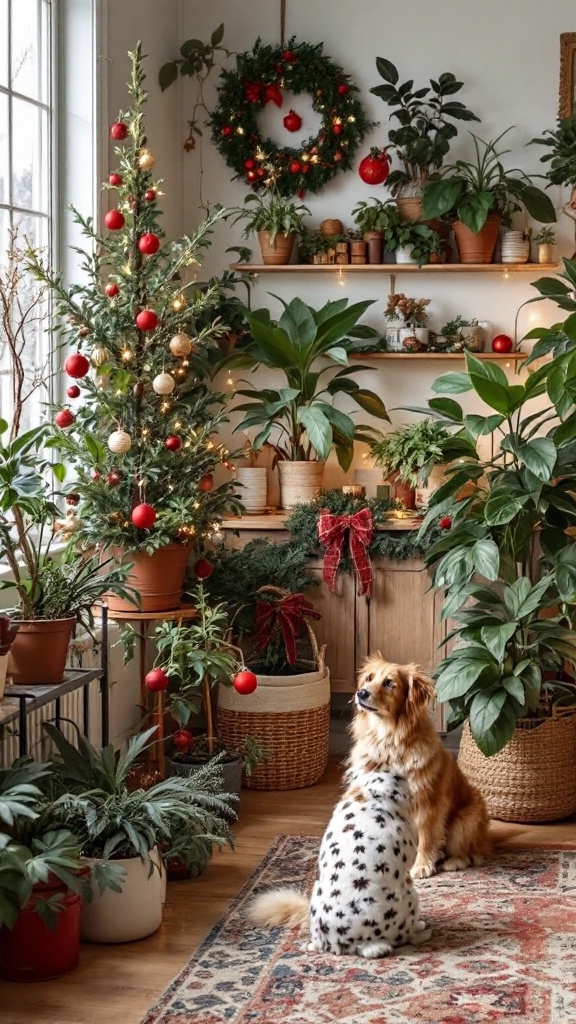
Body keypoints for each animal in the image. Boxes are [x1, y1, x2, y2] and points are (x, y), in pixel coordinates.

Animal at [344, 655, 487, 880]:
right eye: (369, 678)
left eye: (389, 683)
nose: (361, 693)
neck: (388, 741)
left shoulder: (427, 803)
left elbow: (426, 837)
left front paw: (421, 866)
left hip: (466, 821)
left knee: (470, 854)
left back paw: (452, 862)